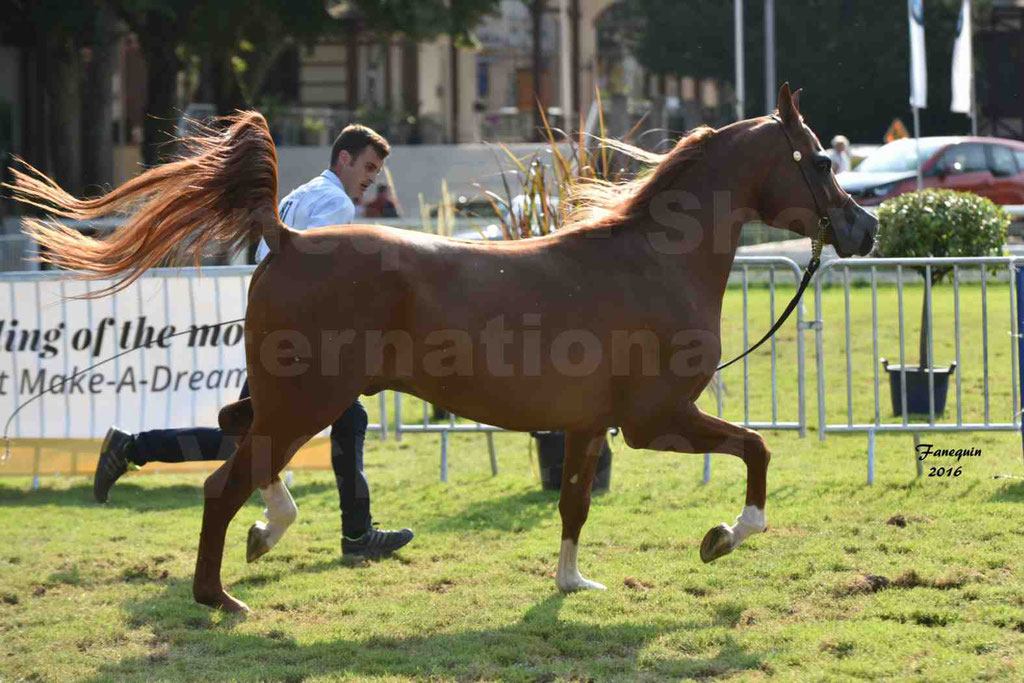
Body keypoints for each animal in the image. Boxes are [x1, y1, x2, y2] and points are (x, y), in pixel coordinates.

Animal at [8, 82, 872, 610]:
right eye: (820, 161)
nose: (865, 228)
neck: (653, 260)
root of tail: (286, 237)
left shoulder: (588, 426)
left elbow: (574, 501)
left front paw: (573, 583)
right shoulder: (655, 420)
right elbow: (757, 447)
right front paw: (724, 536)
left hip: (288, 397)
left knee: (233, 435)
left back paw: (260, 527)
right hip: (305, 400)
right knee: (227, 480)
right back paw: (222, 592)